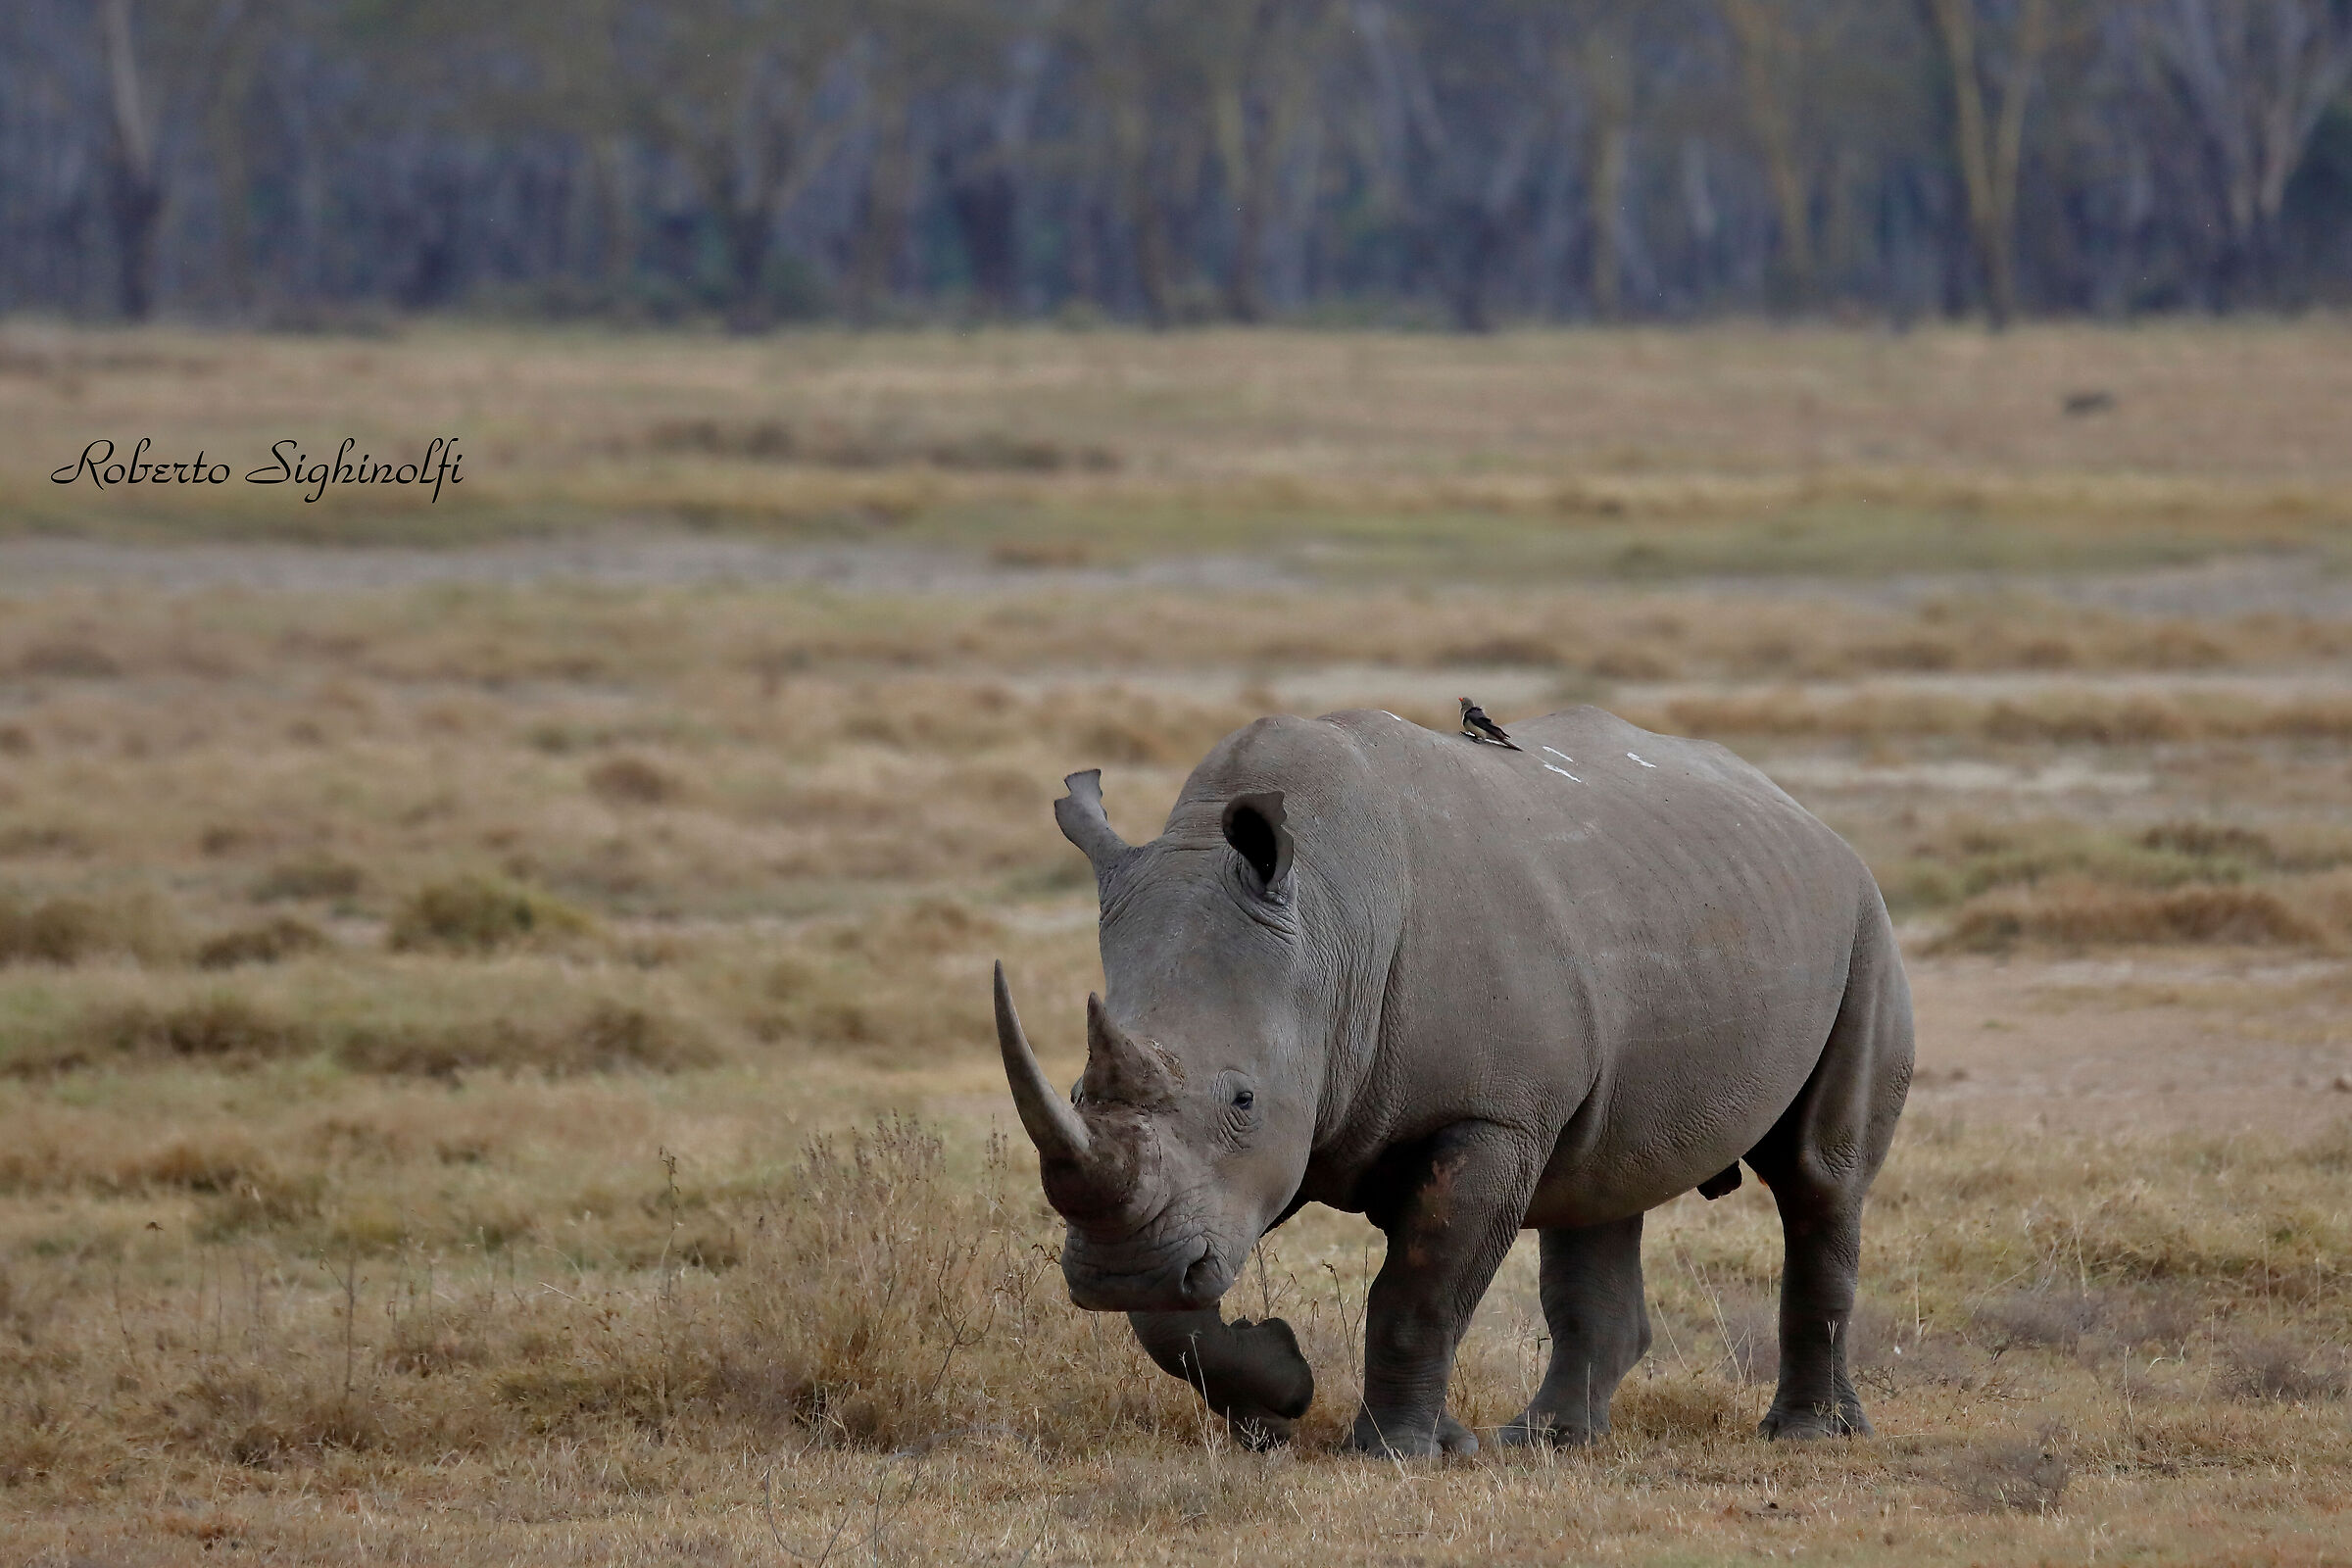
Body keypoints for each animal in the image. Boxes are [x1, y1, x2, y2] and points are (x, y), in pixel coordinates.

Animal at [992, 705, 1912, 1456]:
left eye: (1243, 1099)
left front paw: (1401, 1452)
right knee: (1601, 1186)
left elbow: (1421, 1287)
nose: (1113, 1273)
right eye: (1075, 1096)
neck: (1326, 931)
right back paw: (1549, 1441)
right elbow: (1172, 1310)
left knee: (1817, 1179)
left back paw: (1803, 1436)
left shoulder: (1491, 1114)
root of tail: (1804, 814)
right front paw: (1278, 1398)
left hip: (1864, 921)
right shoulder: (1256, 1156)